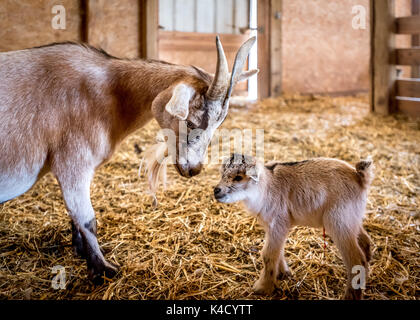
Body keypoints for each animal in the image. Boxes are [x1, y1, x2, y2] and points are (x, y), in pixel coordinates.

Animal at [0, 36, 258, 284]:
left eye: (218, 125)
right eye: (191, 122)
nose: (194, 169)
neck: (109, 92)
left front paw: (81, 251)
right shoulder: (72, 160)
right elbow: (86, 218)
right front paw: (102, 271)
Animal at [215, 154, 372, 298]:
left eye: (238, 177)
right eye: (222, 174)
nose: (216, 191)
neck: (266, 187)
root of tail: (359, 177)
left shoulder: (278, 222)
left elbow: (268, 254)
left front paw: (262, 287)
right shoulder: (272, 225)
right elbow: (277, 250)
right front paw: (283, 273)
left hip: (338, 220)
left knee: (356, 259)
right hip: (351, 218)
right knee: (365, 240)